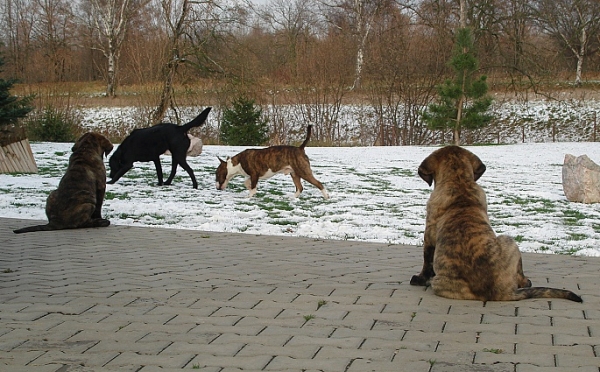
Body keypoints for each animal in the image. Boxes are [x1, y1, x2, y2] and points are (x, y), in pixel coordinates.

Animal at [410, 145, 584, 302]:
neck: (459, 182)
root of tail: (502, 293)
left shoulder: (429, 234)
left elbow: (427, 261)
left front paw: (419, 278)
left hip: (508, 240)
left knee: (521, 276)